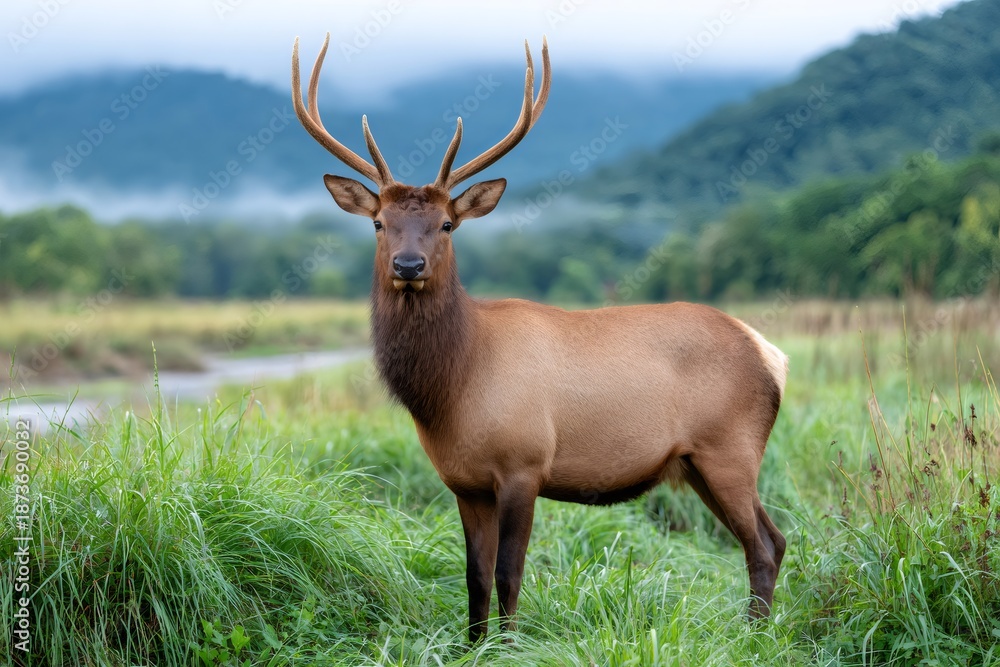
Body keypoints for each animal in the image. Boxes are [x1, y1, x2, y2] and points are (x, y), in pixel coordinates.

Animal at [292, 34, 788, 643]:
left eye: (447, 224)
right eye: (379, 222)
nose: (409, 265)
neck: (454, 387)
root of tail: (771, 353)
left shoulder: (524, 463)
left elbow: (510, 572)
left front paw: (509, 646)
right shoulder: (464, 483)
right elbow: (474, 576)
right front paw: (474, 646)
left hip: (731, 447)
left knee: (762, 545)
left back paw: (754, 638)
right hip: (697, 463)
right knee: (773, 538)